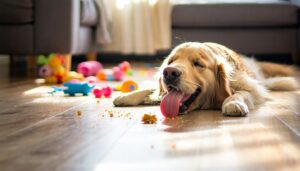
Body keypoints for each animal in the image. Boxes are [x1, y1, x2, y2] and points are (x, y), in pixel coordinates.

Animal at [113, 41, 298, 116]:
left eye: (198, 63)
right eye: (171, 61)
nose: (169, 73)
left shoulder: (251, 88)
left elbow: (238, 93)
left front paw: (233, 103)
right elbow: (151, 89)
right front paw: (126, 96)